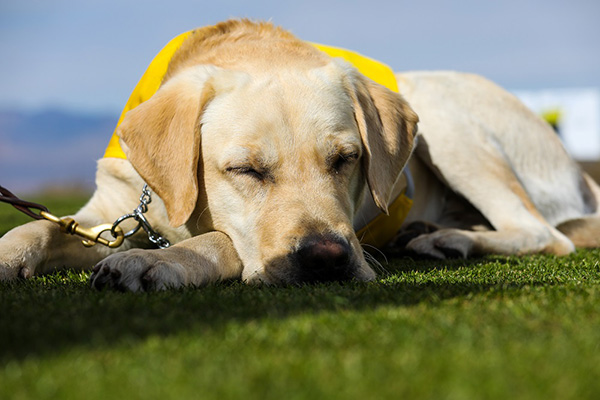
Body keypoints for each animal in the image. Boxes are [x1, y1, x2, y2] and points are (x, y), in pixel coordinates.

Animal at [1, 19, 600, 290]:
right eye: (244, 170)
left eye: (347, 160)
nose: (327, 259)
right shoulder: (110, 210)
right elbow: (39, 227)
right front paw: (9, 255)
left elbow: (222, 240)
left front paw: (156, 261)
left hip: (442, 116)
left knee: (546, 232)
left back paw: (448, 239)